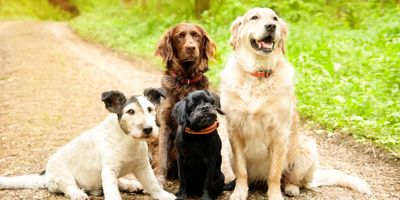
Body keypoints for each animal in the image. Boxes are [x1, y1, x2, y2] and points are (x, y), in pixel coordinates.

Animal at [0, 90, 175, 200]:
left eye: (150, 109)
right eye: (130, 112)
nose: (148, 129)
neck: (128, 141)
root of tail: (46, 175)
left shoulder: (143, 167)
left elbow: (153, 185)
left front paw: (164, 196)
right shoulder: (109, 170)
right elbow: (112, 191)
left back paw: (131, 185)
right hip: (63, 175)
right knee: (68, 187)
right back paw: (78, 194)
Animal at [152, 22, 216, 184]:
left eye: (196, 36)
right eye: (179, 36)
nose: (191, 48)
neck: (186, 81)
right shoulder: (165, 125)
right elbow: (162, 158)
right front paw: (160, 181)